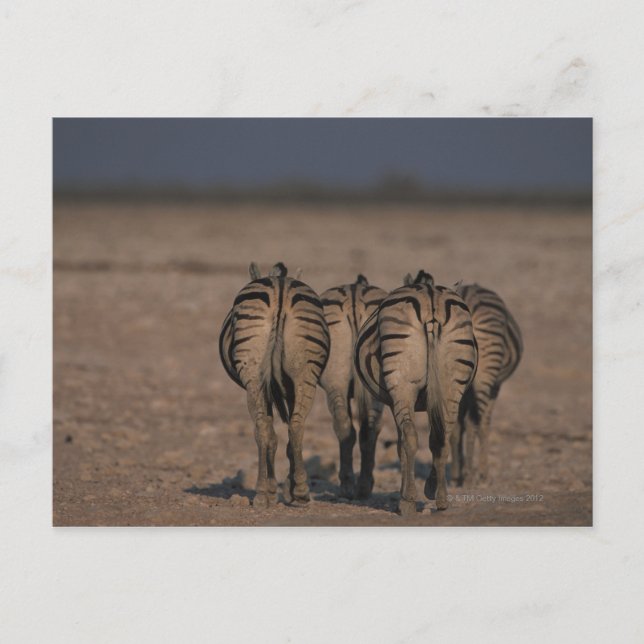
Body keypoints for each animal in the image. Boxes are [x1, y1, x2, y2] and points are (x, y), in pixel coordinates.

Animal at [218, 262, 330, 509]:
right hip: (301, 374)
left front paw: (276, 489)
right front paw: (281, 488)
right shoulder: (278, 386)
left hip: (257, 376)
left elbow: (273, 435)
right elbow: (279, 435)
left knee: (268, 427)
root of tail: (280, 287)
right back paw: (296, 491)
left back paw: (271, 492)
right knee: (293, 426)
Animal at [318, 274, 387, 499]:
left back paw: (349, 486)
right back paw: (362, 486)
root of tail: (354, 298)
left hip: (336, 384)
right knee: (369, 429)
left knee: (345, 426)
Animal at [354, 270, 478, 516]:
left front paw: (405, 494)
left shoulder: (393, 401)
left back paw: (408, 501)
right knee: (443, 438)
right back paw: (441, 499)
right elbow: (433, 439)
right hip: (452, 385)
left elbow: (401, 445)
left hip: (401, 384)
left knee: (411, 436)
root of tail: (431, 301)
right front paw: (430, 487)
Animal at [451, 283, 523, 485]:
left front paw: (458, 472)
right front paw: (483, 473)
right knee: (474, 422)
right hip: (486, 373)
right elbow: (484, 423)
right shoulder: (495, 388)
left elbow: (458, 426)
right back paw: (471, 475)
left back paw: (459, 475)